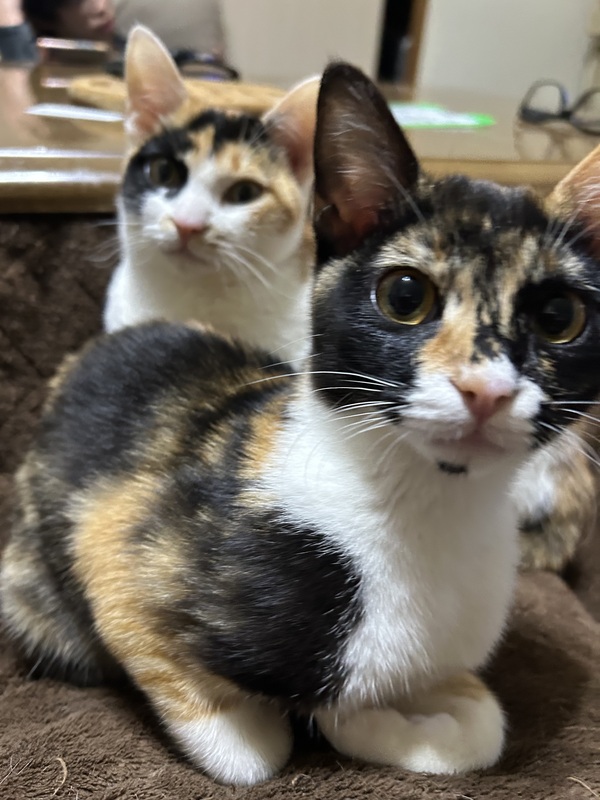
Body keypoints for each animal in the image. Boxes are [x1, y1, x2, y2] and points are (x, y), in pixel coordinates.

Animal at [4, 61, 600, 786]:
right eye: (405, 295)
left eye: (560, 318)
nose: (484, 388)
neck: (428, 506)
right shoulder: (115, 548)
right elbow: (252, 749)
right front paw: (344, 719)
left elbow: (481, 727)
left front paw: (403, 717)